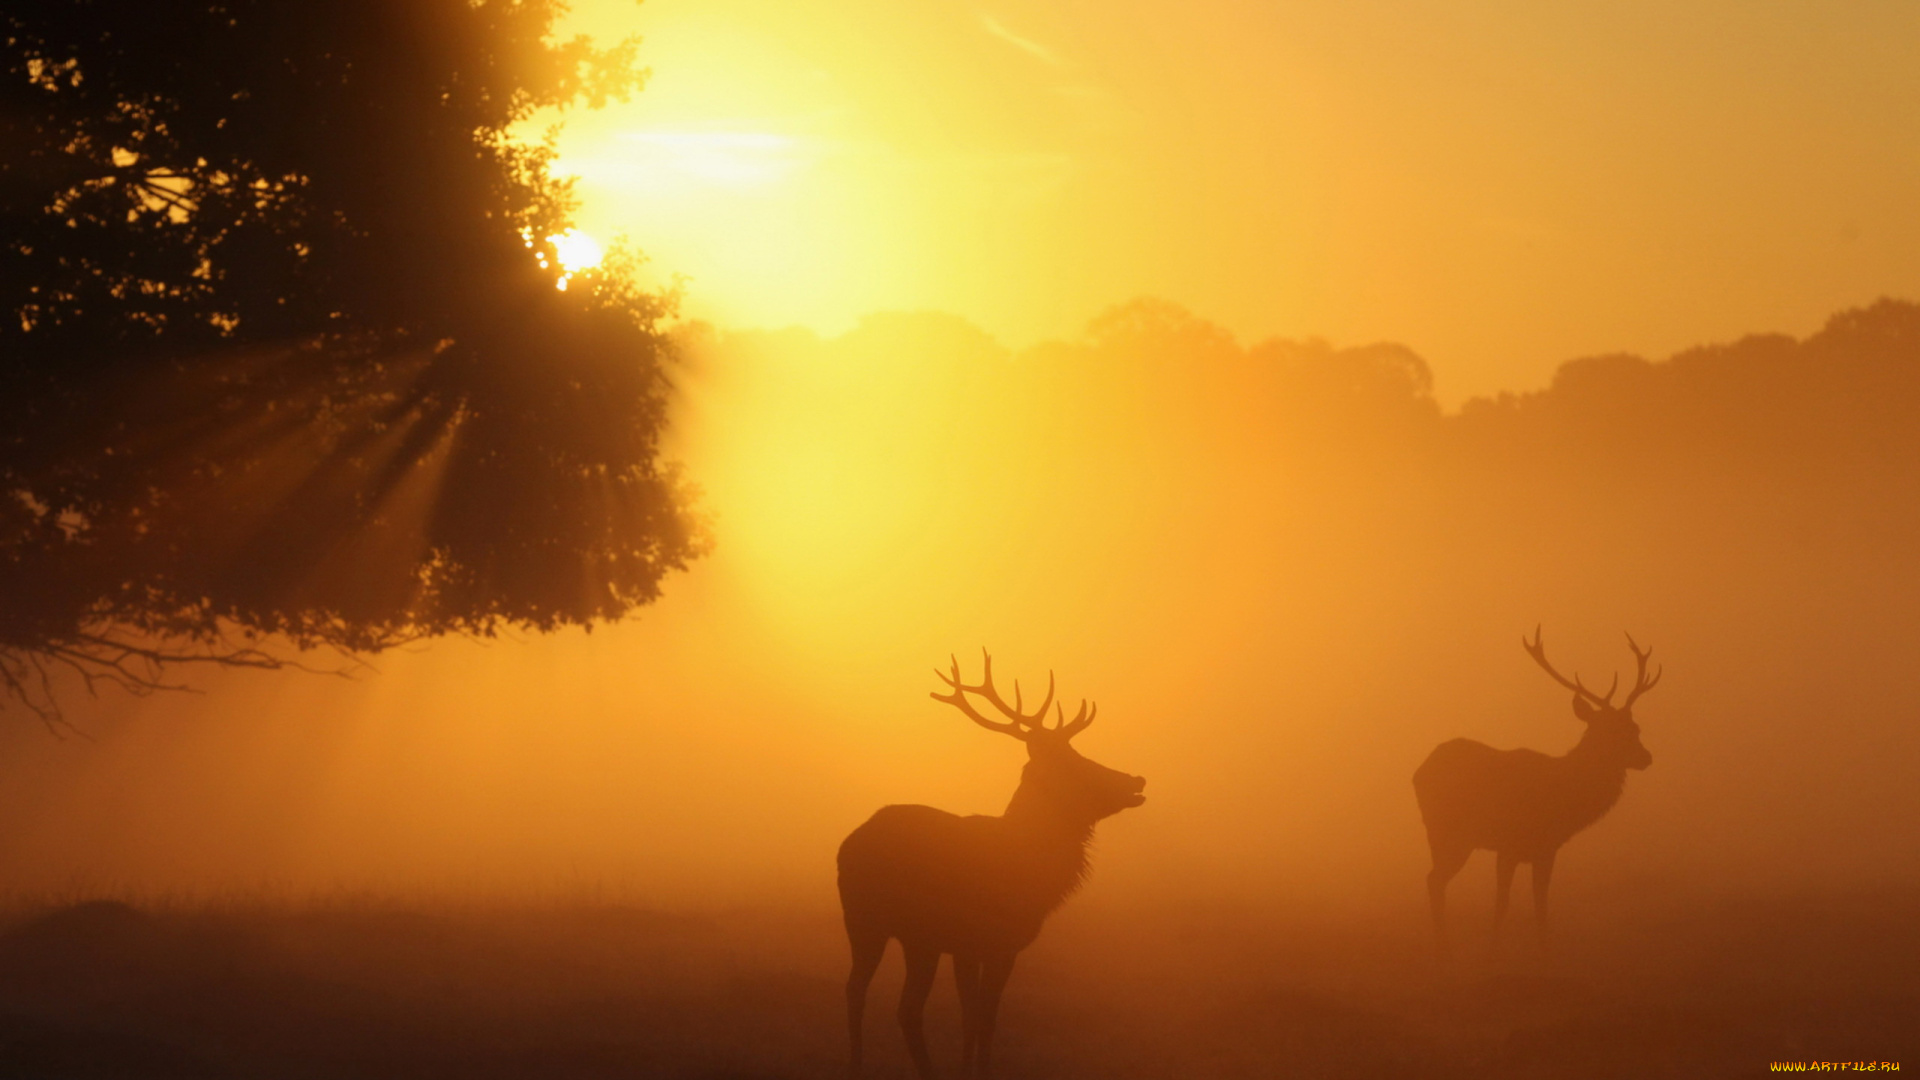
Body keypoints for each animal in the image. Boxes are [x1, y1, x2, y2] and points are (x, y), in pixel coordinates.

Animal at [837, 645, 1136, 1076]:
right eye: (1074, 761)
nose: (1136, 781)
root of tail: (845, 847)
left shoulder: (970, 946)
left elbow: (973, 1015)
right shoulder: (991, 942)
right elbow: (984, 1016)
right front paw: (976, 1070)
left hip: (895, 933)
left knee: (874, 996)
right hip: (878, 923)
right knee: (885, 1000)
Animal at [1413, 626, 1666, 945]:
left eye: (1635, 728)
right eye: (1610, 731)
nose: (1646, 757)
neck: (1561, 794)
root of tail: (1418, 772)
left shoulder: (1543, 847)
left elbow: (1538, 904)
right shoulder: (1514, 844)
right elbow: (1508, 904)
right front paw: (1496, 947)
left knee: (1434, 879)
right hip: (1451, 833)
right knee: (1435, 880)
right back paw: (1442, 943)